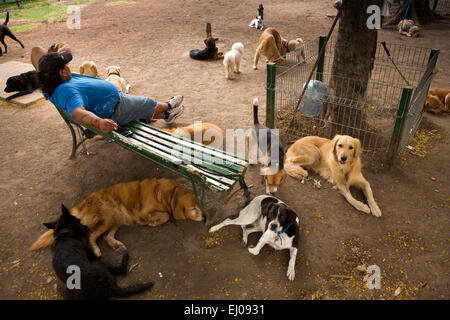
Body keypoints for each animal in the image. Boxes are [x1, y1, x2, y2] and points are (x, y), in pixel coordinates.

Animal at [29, 178, 202, 258]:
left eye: (198, 206)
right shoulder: (144, 212)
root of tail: (81, 204)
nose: (204, 216)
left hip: (117, 216)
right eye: (193, 209)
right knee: (91, 234)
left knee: (105, 236)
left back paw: (116, 245)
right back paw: (96, 250)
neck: (168, 195)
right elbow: (165, 215)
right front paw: (153, 222)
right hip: (109, 214)